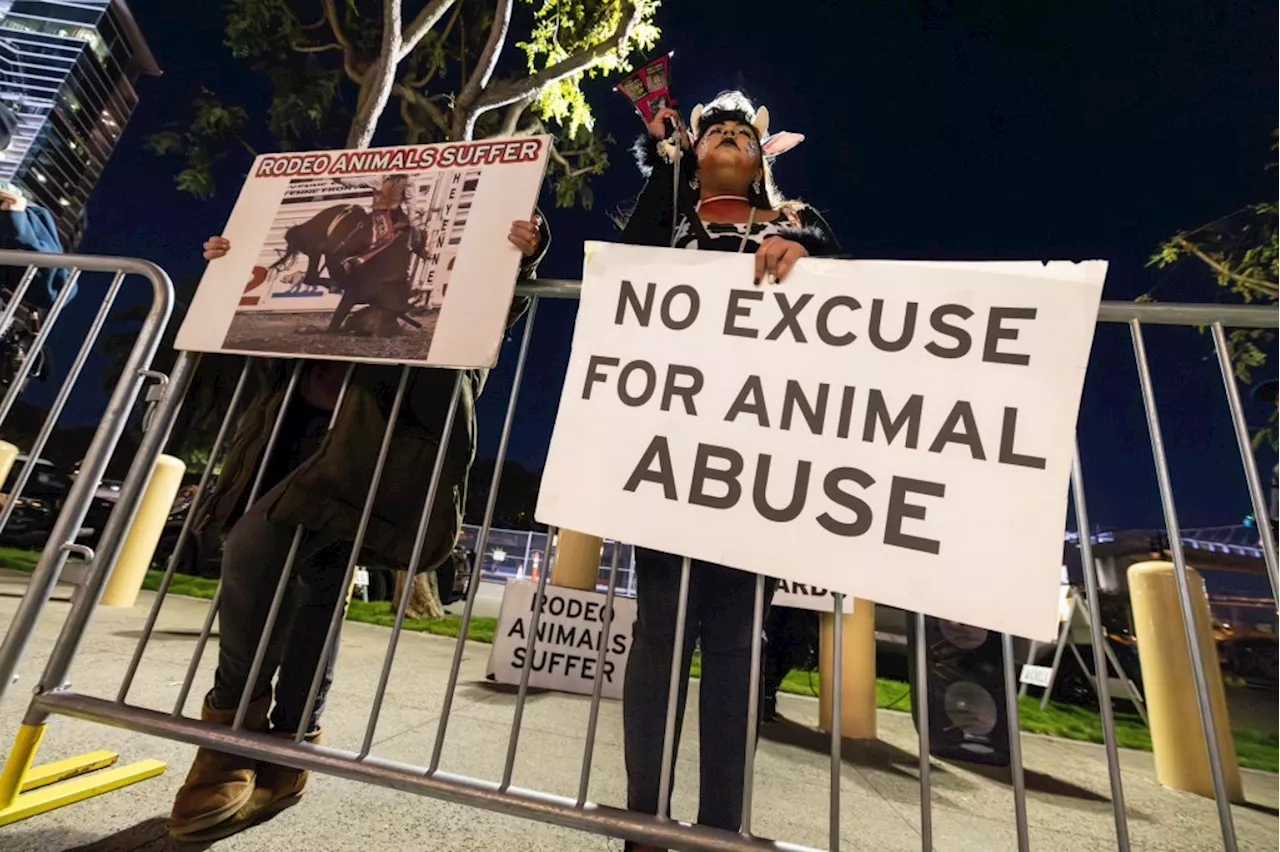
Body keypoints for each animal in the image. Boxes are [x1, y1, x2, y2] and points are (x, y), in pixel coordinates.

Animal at [267, 202, 432, 335]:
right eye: (392, 313)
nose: (391, 330)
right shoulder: (352, 292)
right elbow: (336, 319)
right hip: (318, 250)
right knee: (313, 276)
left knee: (312, 277)